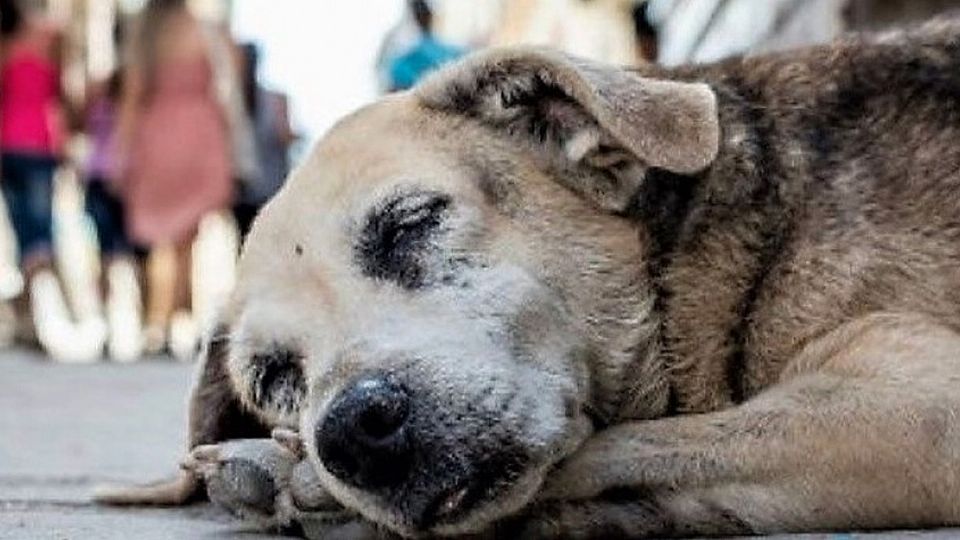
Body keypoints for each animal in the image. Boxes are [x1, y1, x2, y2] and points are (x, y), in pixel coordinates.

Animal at [97, 14, 960, 536]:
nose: (349, 433)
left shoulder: (916, 399)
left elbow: (626, 447)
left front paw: (294, 478)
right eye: (274, 376)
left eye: (409, 223)